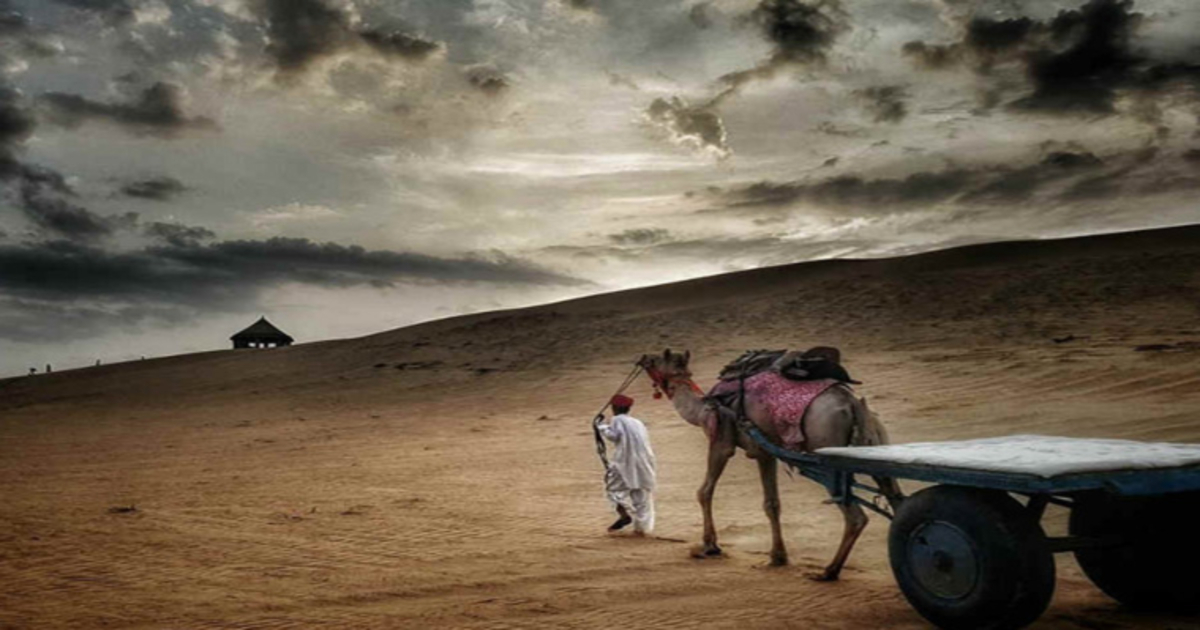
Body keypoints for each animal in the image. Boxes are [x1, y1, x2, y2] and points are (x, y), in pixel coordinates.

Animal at [638, 348, 902, 580]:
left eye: (656, 358)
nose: (642, 358)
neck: (701, 408)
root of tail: (853, 405)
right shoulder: (765, 451)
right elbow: (772, 504)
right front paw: (778, 557)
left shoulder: (721, 438)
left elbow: (704, 491)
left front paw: (708, 546)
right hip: (877, 439)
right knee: (895, 496)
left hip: (828, 454)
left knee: (856, 516)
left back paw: (828, 572)